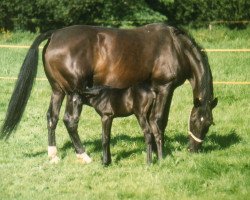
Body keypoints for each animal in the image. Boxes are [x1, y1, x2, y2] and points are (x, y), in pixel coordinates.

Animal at [0, 23, 217, 164]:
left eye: (209, 123)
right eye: (197, 121)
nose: (193, 149)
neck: (176, 47)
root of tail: (54, 35)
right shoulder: (164, 87)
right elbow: (159, 120)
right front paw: (158, 154)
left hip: (57, 90)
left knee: (51, 118)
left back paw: (53, 155)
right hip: (73, 93)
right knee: (70, 120)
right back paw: (84, 155)